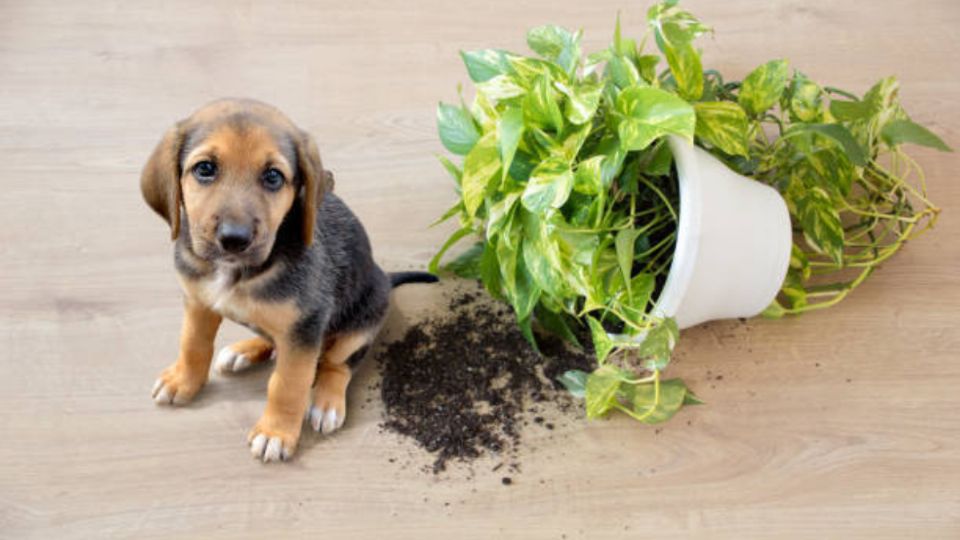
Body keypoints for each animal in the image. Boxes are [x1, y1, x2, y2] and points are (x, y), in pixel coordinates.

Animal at [142, 99, 436, 462]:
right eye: (205, 169)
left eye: (273, 177)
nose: (234, 240)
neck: (237, 272)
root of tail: (384, 276)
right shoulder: (198, 302)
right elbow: (193, 344)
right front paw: (183, 380)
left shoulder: (305, 327)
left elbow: (287, 384)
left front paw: (276, 433)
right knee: (273, 340)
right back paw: (244, 350)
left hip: (362, 320)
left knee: (338, 364)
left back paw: (326, 401)